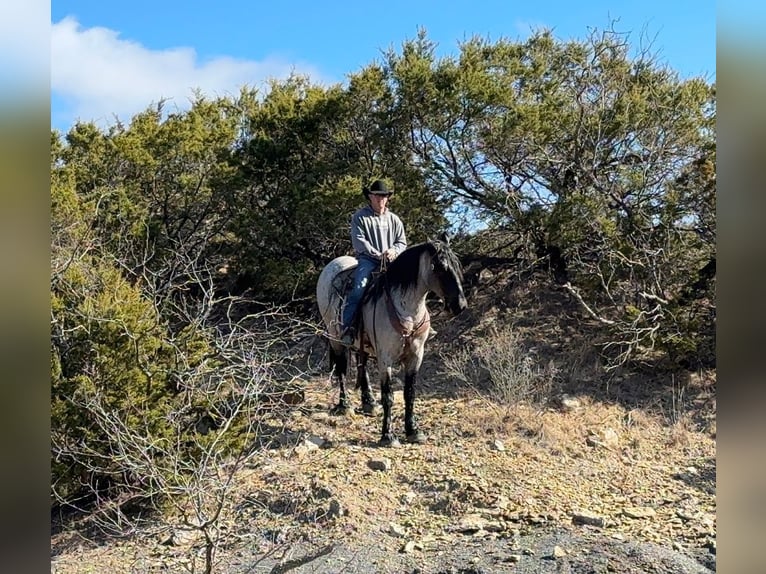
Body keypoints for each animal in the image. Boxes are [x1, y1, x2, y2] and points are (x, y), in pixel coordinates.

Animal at [316, 235, 467, 447]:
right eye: (439, 267)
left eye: (457, 265)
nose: (460, 306)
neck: (407, 311)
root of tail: (332, 264)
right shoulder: (385, 358)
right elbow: (388, 396)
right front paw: (387, 435)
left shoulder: (416, 356)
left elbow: (409, 393)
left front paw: (413, 431)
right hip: (335, 338)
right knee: (341, 369)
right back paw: (344, 405)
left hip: (361, 341)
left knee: (361, 362)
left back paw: (369, 402)